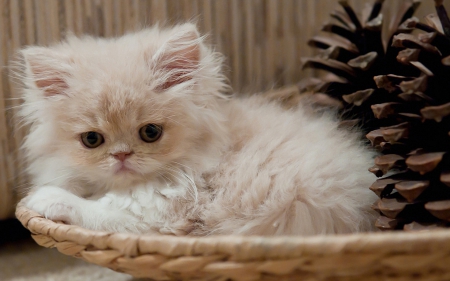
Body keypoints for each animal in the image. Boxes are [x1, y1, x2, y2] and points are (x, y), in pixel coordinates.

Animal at [15, 23, 378, 234]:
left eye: (150, 133)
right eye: (92, 139)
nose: (121, 156)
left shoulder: (161, 215)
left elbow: (100, 210)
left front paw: (45, 198)